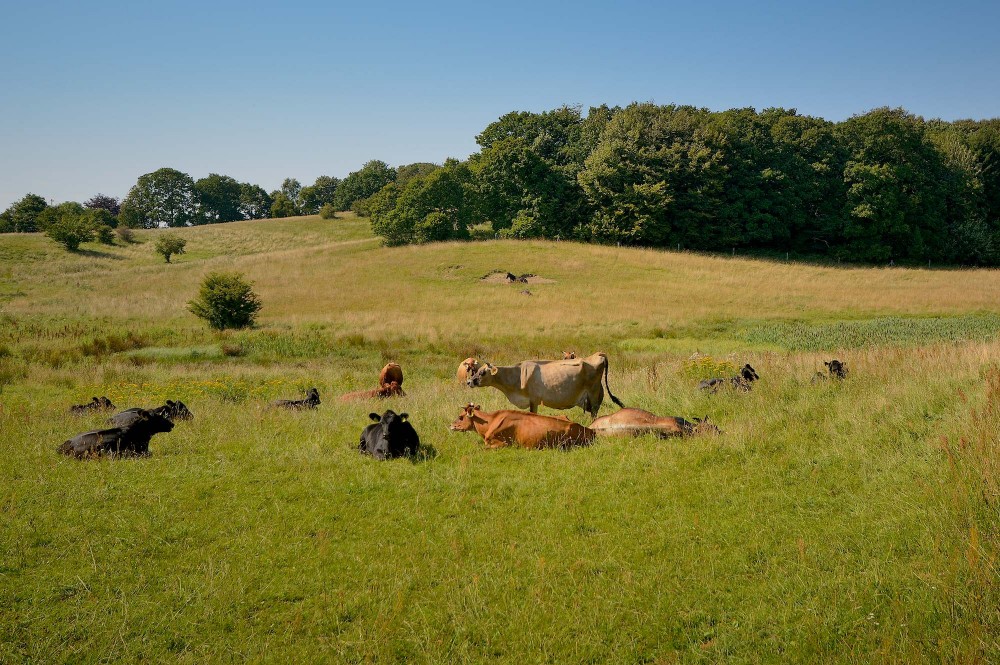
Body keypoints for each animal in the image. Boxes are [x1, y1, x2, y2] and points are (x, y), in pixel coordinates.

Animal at [464, 348, 620, 416]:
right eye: (476, 370)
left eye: (482, 372)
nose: (469, 381)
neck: (517, 375)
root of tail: (598, 354)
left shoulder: (533, 400)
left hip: (593, 394)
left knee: (594, 412)